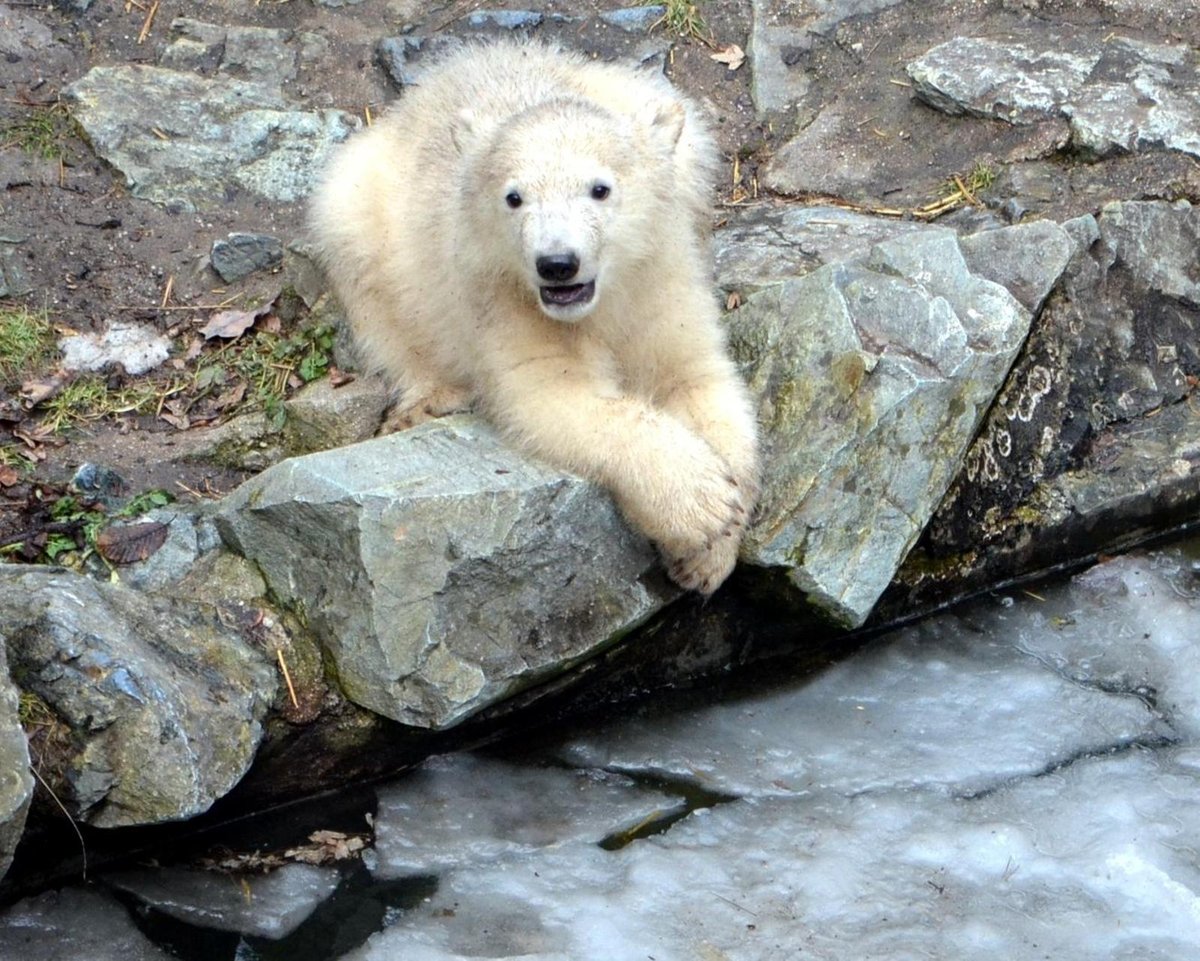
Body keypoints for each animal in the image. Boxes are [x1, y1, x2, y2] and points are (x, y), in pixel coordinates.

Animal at [309, 41, 758, 592]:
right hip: (363, 201)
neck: (601, 300)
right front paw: (701, 504)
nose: (557, 264)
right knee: (368, 276)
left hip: (665, 121)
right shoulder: (505, 299)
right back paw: (430, 398)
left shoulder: (661, 282)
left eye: (600, 189)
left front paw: (709, 555)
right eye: (514, 197)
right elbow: (556, 395)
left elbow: (698, 381)